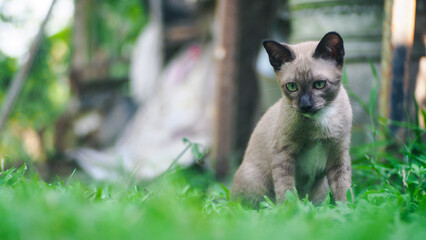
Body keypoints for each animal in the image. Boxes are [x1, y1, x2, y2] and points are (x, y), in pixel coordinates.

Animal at [233, 31, 352, 207]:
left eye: (319, 84)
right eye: (292, 87)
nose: (305, 105)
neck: (321, 121)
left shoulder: (338, 155)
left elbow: (344, 192)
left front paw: (346, 211)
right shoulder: (283, 154)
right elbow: (286, 191)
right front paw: (291, 211)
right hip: (256, 184)